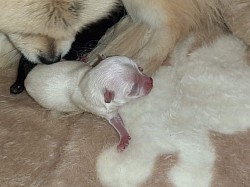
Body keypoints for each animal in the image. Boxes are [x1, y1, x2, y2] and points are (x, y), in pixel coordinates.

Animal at [24, 56, 152, 151]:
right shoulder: (100, 108)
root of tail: (26, 79)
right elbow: (115, 120)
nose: (151, 81)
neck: (87, 81)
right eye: (134, 89)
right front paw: (123, 138)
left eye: (140, 69)